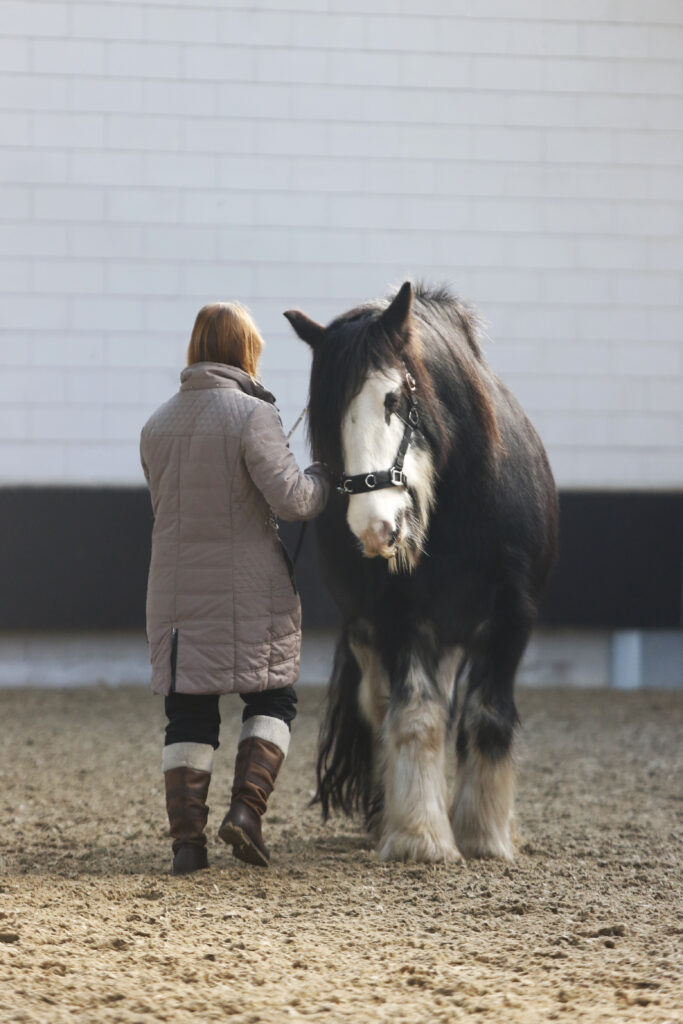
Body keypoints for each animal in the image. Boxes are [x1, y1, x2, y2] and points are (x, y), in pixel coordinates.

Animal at [286, 276, 557, 860]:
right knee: (382, 705)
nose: (373, 527)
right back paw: (388, 811)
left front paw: (485, 834)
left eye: (393, 399)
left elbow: (488, 715)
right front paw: (421, 836)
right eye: (328, 415)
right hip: (375, 629)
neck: (461, 509)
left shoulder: (514, 616)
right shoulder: (398, 618)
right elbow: (414, 717)